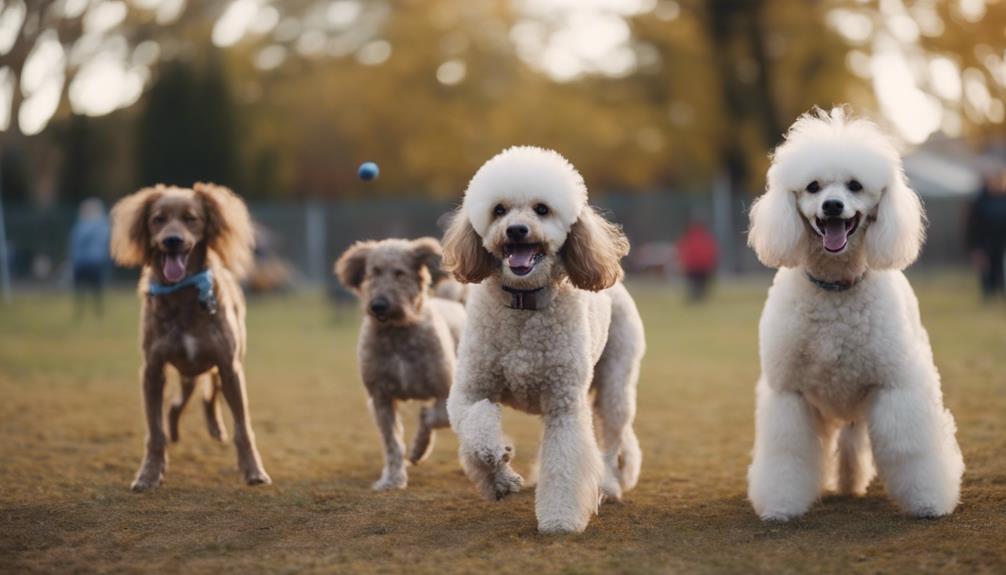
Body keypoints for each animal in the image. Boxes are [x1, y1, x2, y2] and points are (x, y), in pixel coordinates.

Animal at [111, 182, 271, 490]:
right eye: (157, 219)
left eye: (191, 218)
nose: (172, 240)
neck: (183, 295)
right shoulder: (152, 370)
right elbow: (155, 431)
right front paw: (149, 473)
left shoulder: (229, 366)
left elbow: (243, 428)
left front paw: (254, 471)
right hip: (187, 372)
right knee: (177, 405)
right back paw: (175, 431)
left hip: (220, 367)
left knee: (208, 398)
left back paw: (215, 428)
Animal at [336, 237, 464, 490]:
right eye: (373, 272)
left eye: (400, 273)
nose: (378, 305)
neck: (398, 331)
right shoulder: (381, 398)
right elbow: (392, 442)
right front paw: (392, 479)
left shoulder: (445, 391)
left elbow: (432, 417)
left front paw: (419, 447)